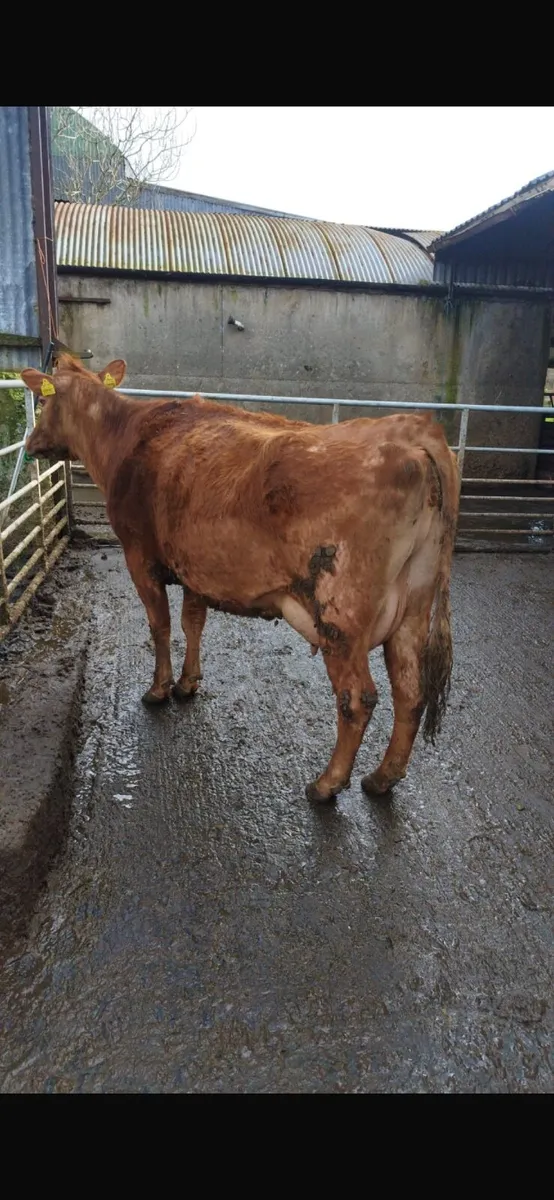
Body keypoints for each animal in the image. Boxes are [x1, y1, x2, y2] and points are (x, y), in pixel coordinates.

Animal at [22, 355, 460, 804]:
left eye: (43, 400)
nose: (29, 444)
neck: (123, 437)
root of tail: (415, 433)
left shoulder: (139, 555)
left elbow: (160, 625)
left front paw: (159, 689)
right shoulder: (195, 566)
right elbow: (192, 623)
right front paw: (187, 683)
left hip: (341, 613)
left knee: (357, 698)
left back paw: (327, 783)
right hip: (413, 603)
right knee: (410, 689)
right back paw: (382, 778)